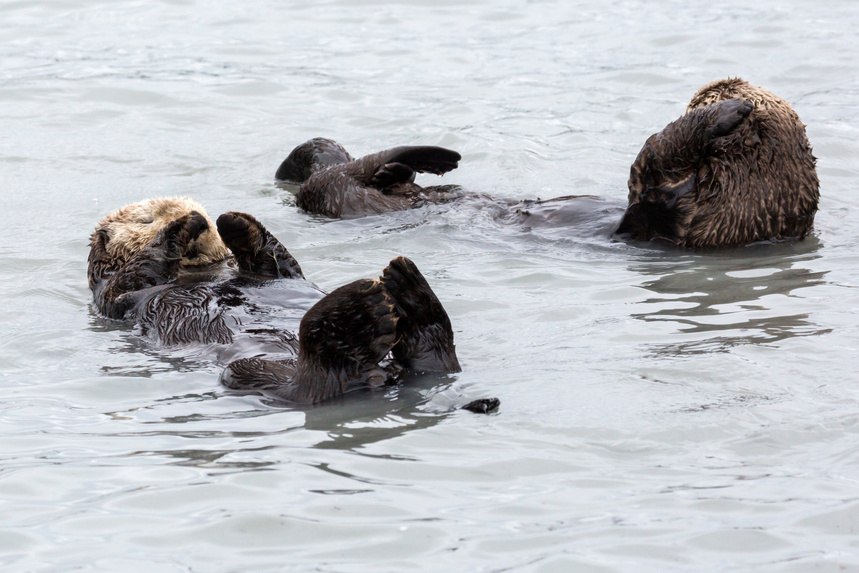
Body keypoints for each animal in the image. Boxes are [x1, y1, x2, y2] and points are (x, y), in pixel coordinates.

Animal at [87, 198, 498, 412]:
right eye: (145, 218)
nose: (201, 219)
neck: (200, 271)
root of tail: (383, 374)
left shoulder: (271, 268)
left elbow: (275, 260)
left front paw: (233, 222)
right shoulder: (114, 292)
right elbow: (137, 273)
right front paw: (180, 227)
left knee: (433, 363)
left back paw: (411, 296)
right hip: (246, 370)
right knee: (312, 387)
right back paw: (359, 314)